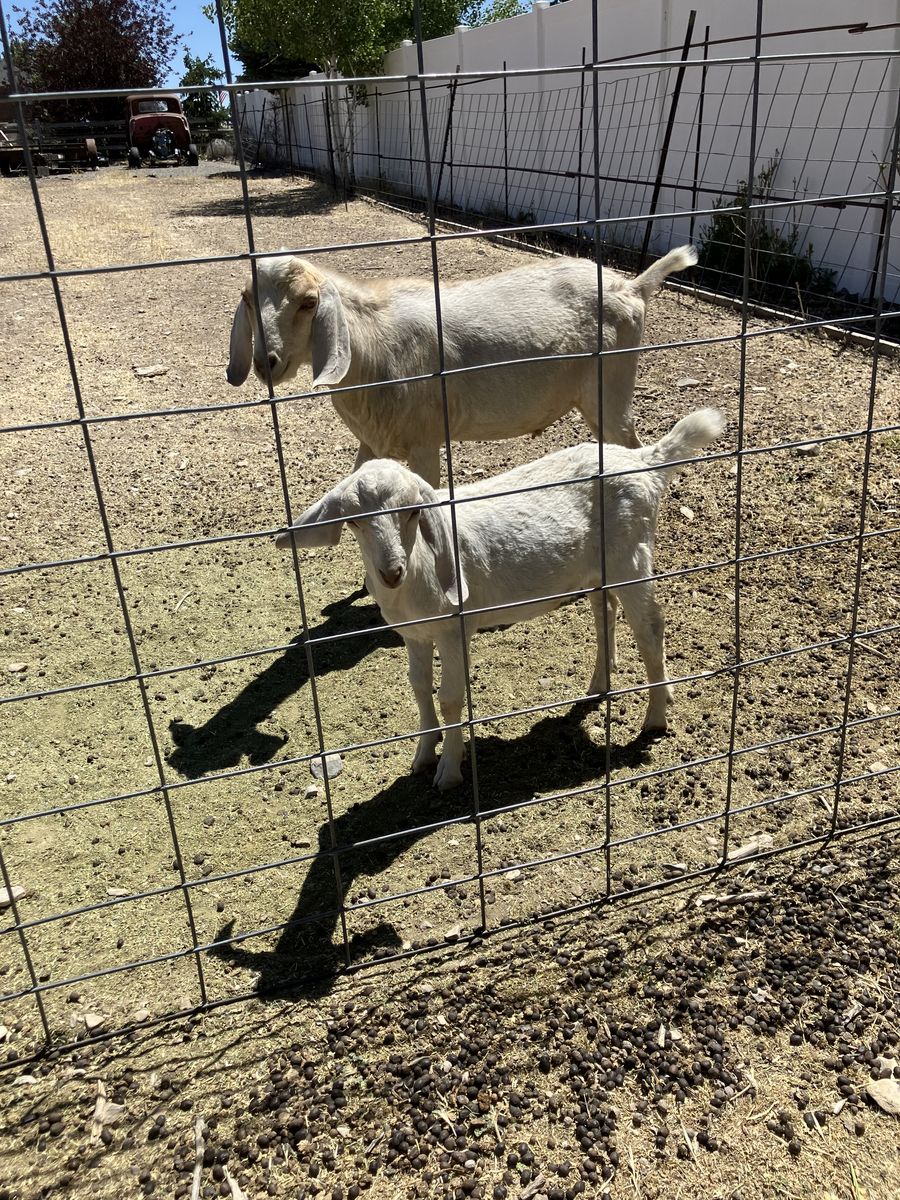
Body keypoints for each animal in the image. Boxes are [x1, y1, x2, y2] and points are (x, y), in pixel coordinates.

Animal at [228, 247, 698, 484]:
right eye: (248, 298)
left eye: (309, 302)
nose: (266, 362)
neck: (371, 343)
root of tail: (632, 287)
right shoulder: (373, 440)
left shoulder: (424, 439)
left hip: (613, 390)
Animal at [276, 407, 725, 790]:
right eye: (352, 521)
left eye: (413, 512)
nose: (390, 572)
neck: (419, 573)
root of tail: (644, 462)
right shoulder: (415, 634)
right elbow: (419, 687)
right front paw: (423, 754)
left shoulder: (453, 629)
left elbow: (450, 698)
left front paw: (449, 770)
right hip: (598, 569)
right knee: (606, 611)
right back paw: (600, 684)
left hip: (630, 555)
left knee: (650, 628)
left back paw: (656, 716)